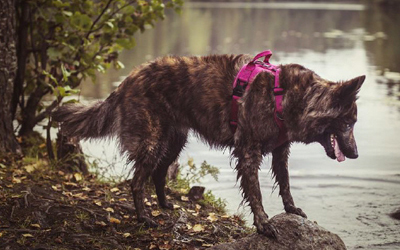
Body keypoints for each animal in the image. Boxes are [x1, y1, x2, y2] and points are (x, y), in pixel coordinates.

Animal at [53, 53, 366, 237]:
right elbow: (256, 194)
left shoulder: (280, 151)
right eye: (347, 123)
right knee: (137, 181)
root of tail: (128, 79)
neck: (290, 97)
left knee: (158, 173)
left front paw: (291, 209)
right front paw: (263, 224)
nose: (355, 154)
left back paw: (164, 204)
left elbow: (285, 184)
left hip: (173, 141)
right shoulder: (248, 152)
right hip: (152, 141)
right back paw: (144, 218)